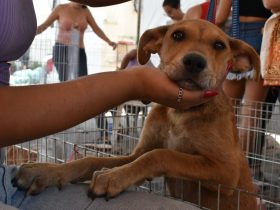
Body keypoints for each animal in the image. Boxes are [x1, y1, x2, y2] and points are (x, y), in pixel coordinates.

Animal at [13, 19, 258, 208]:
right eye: (178, 35)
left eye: (219, 45)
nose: (195, 61)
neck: (179, 114)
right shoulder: (137, 153)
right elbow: (91, 160)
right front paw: (44, 171)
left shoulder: (226, 171)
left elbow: (162, 155)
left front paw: (112, 176)